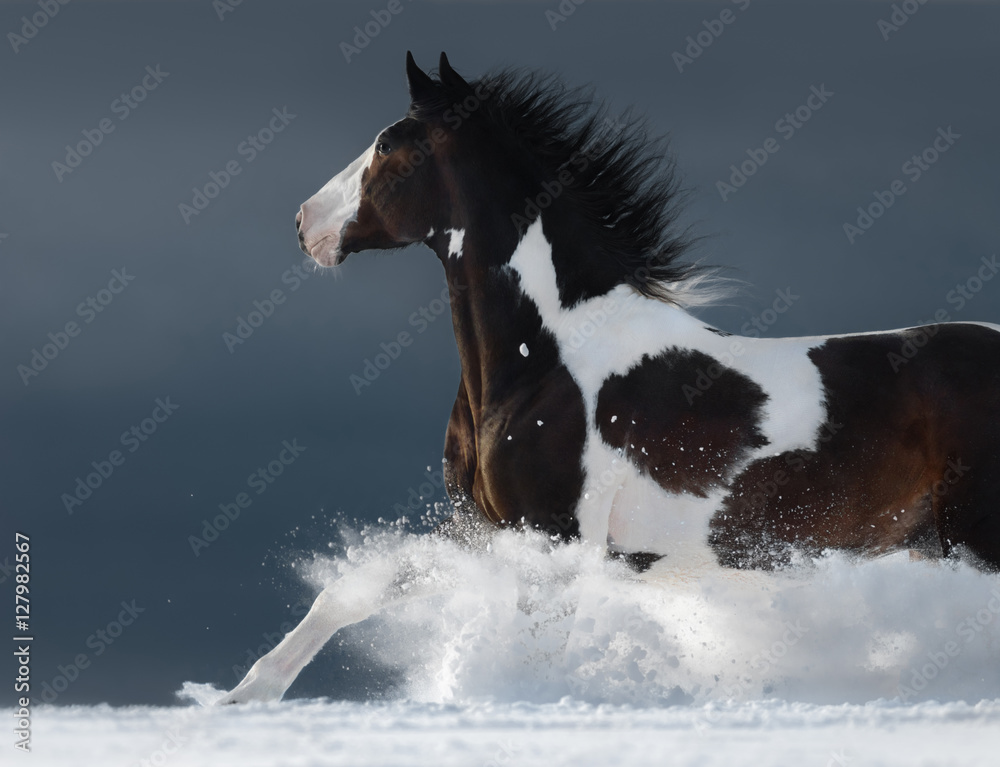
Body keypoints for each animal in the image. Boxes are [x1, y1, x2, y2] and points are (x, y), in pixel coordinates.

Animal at [219, 51, 1000, 704]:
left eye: (388, 144)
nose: (303, 224)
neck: (544, 365)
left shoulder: (553, 538)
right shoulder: (485, 530)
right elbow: (352, 591)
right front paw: (244, 697)